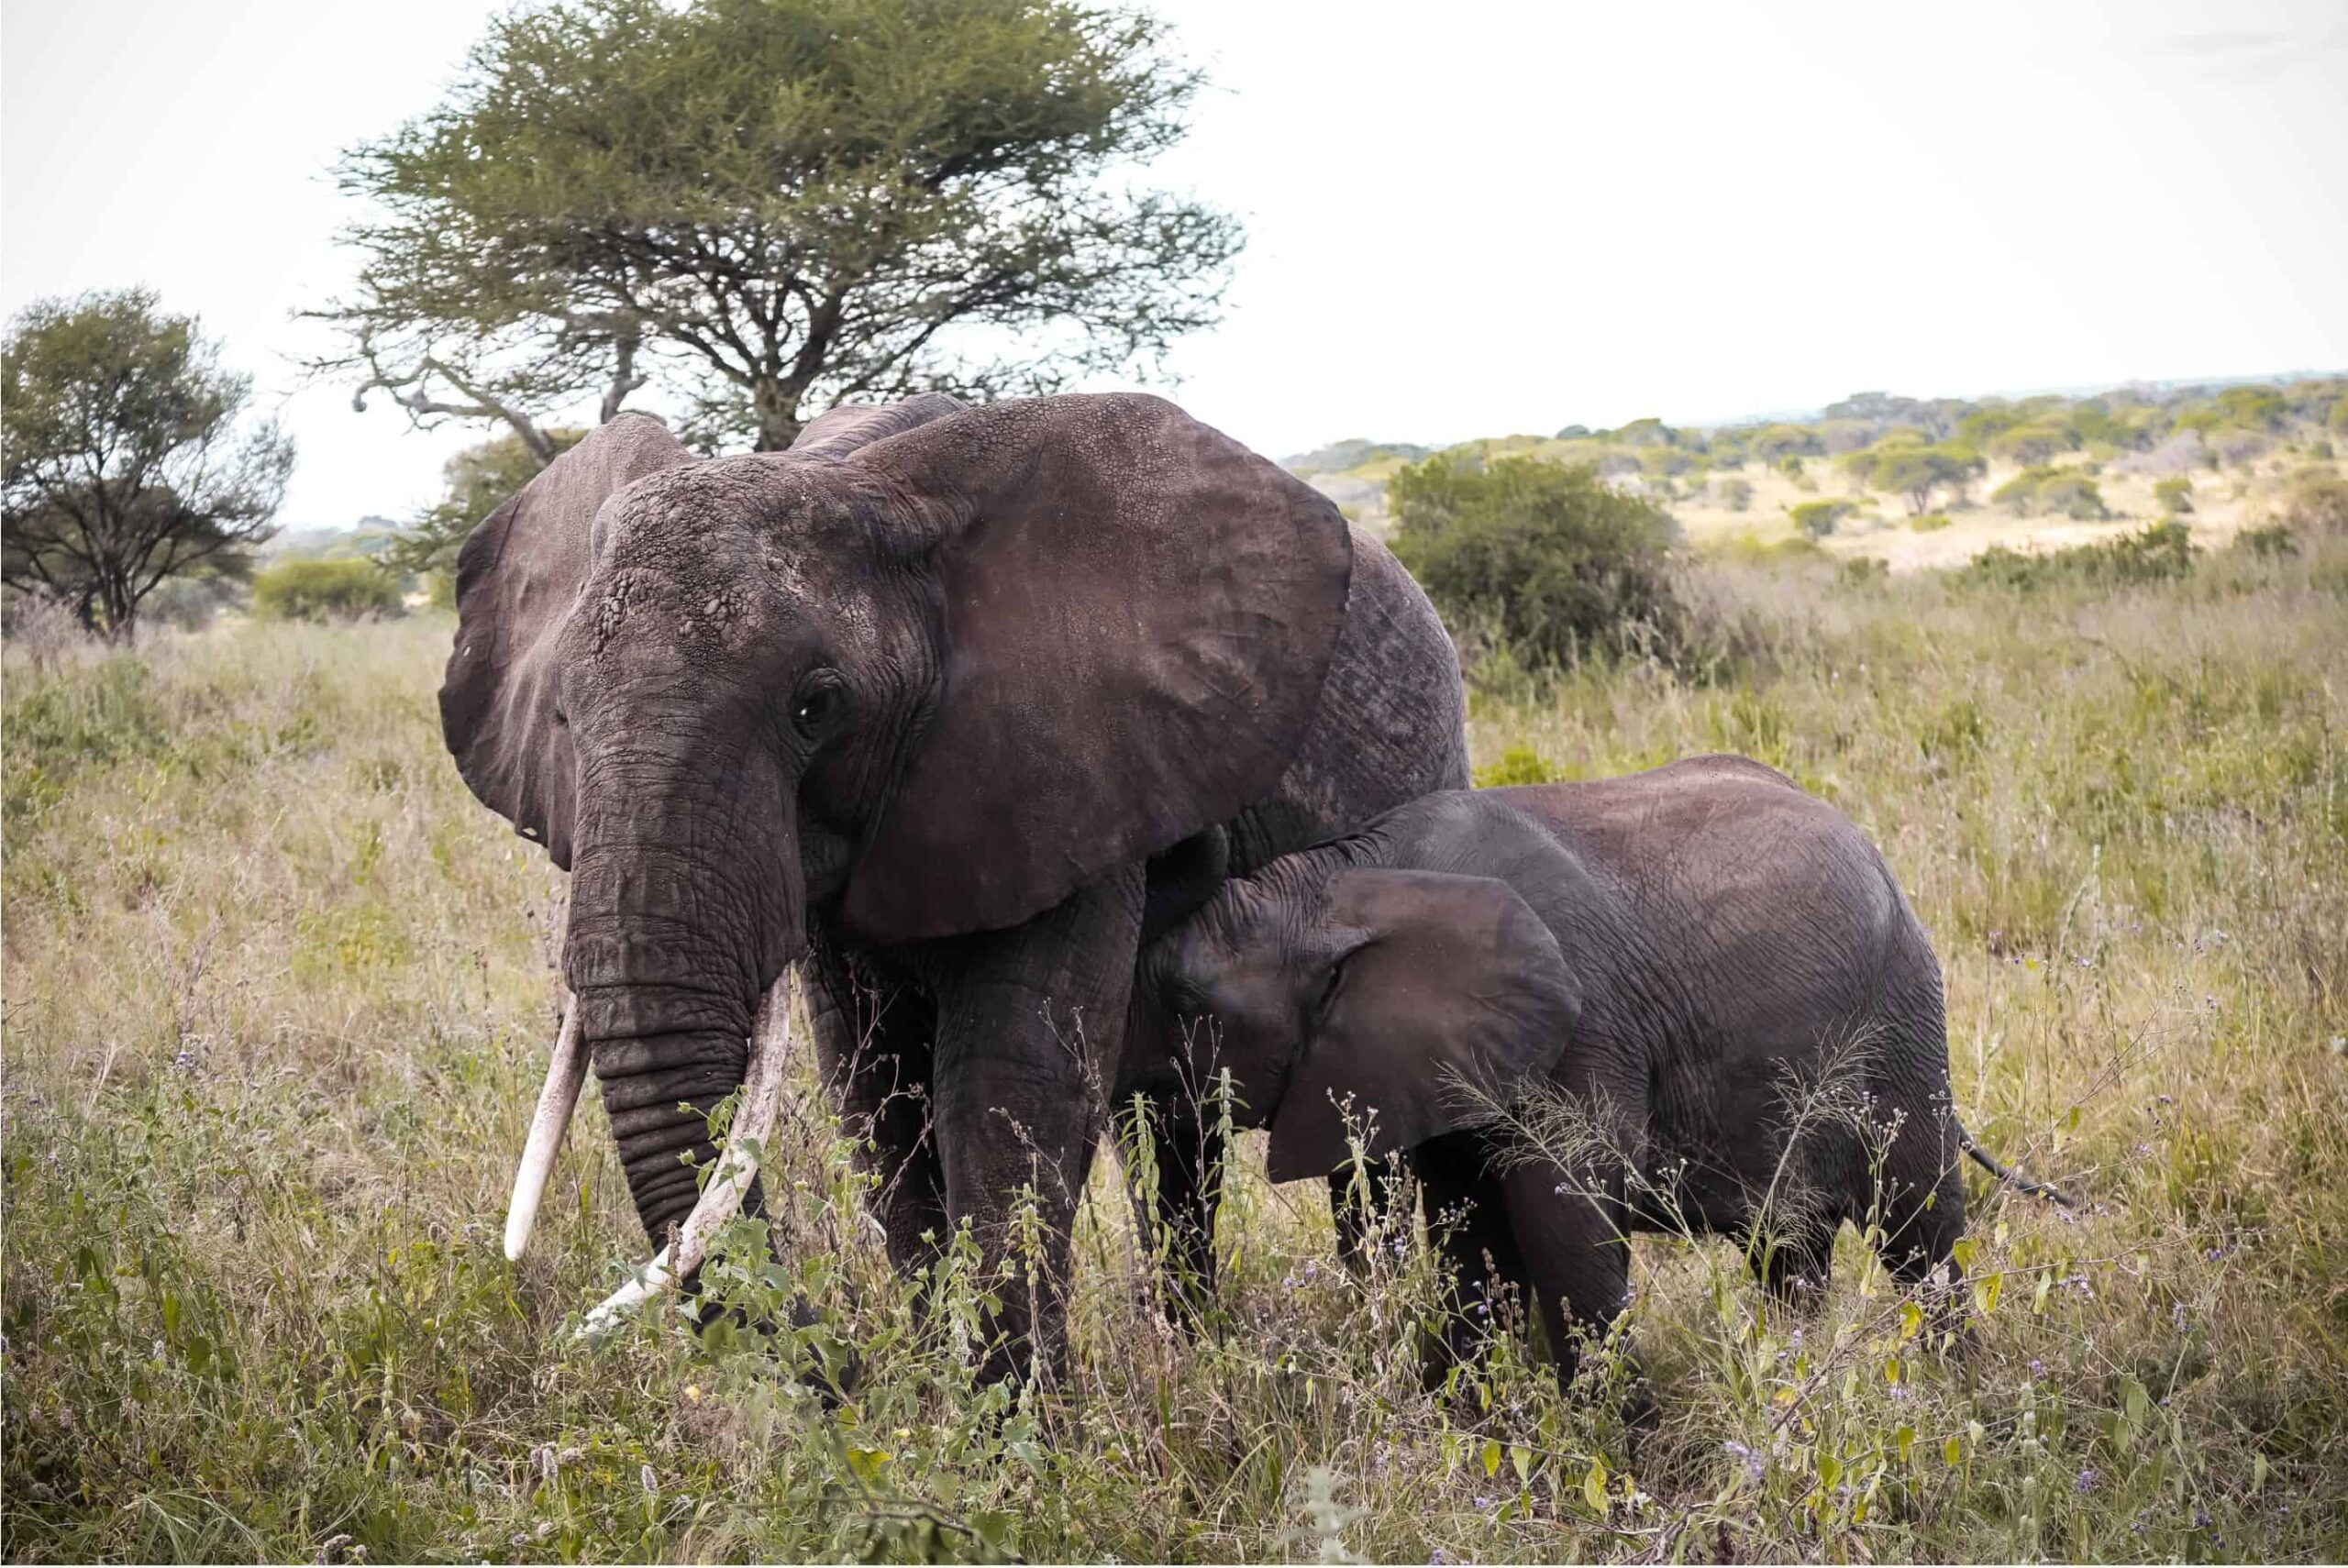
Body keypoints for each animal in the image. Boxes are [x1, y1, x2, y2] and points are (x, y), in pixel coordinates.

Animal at [445, 391, 1467, 1380]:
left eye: (816, 707)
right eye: (562, 717)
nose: (845, 1372)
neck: (860, 478)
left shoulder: (1072, 769)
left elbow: (1008, 1083)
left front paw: (1018, 1421)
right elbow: (877, 1095)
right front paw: (951, 1400)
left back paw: (1376, 1336)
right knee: (1166, 1137)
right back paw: (1192, 1349)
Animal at [1119, 756, 2069, 1390]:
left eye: (1184, 1000)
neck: (1334, 882)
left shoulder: (1578, 1032)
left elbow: (1562, 1220)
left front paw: (1618, 1447)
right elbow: (1471, 1234)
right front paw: (1472, 1419)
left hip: (1901, 1021)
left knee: (1919, 1230)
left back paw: (1954, 1395)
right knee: (1790, 1249)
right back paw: (1797, 1374)